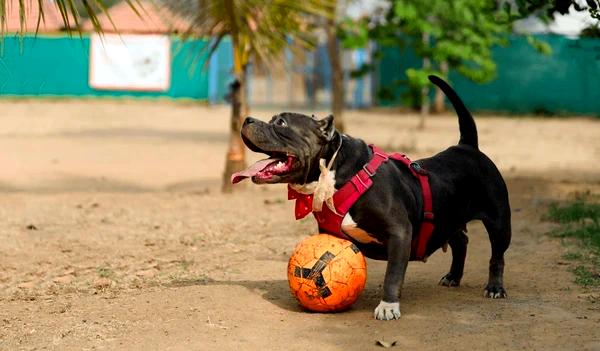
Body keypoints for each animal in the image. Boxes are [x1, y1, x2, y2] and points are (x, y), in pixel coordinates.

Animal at [232, 75, 512, 320]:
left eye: (281, 124)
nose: (246, 119)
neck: (335, 171)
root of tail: (467, 146)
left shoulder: (399, 232)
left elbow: (393, 274)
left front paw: (388, 306)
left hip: (499, 222)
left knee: (497, 256)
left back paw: (494, 288)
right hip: (448, 218)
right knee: (461, 241)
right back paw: (454, 276)